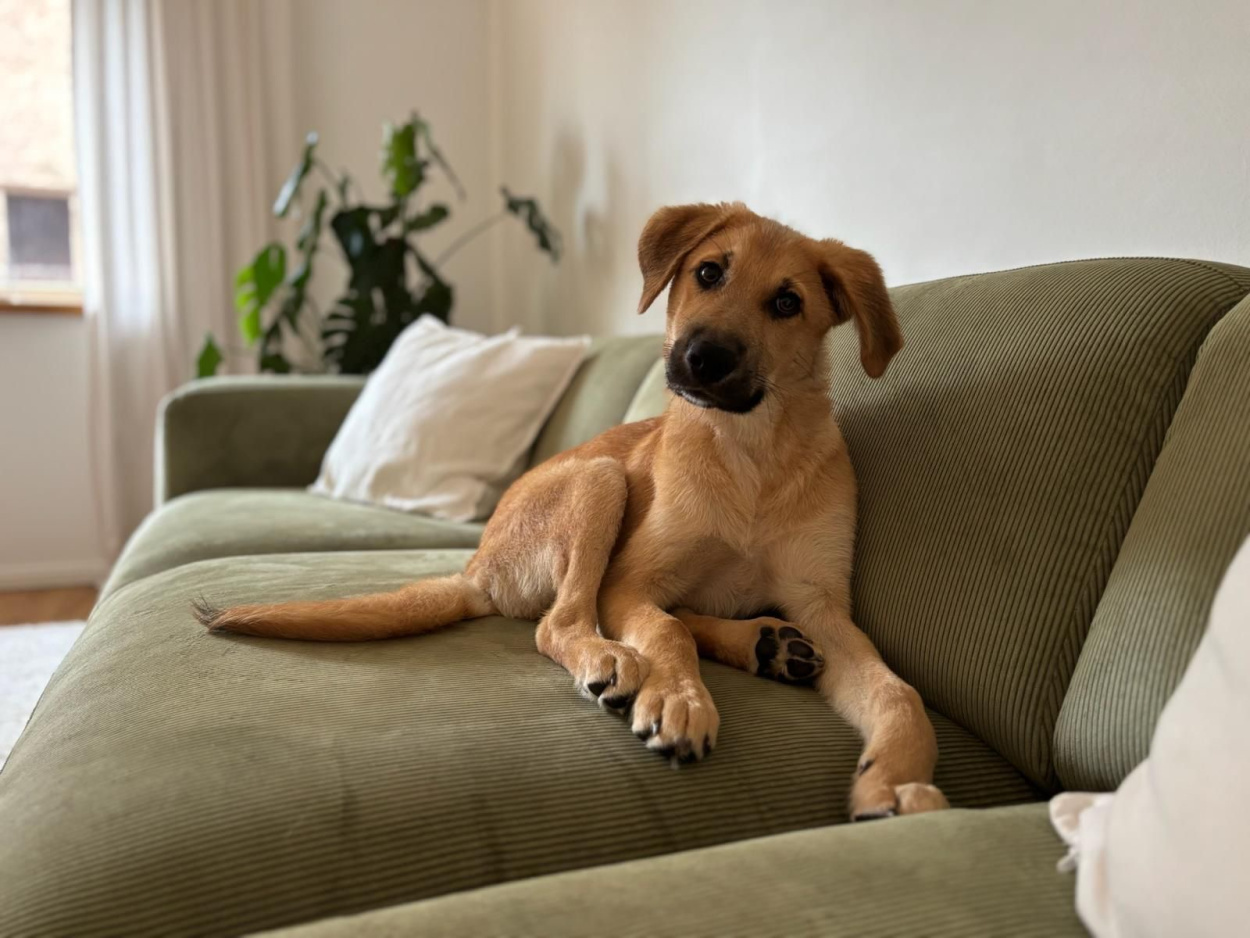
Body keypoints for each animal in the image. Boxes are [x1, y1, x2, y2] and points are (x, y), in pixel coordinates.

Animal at [195, 202, 948, 820]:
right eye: (709, 272)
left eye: (788, 302)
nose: (701, 358)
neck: (750, 456)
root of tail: (475, 570)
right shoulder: (630, 581)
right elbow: (665, 632)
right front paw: (679, 700)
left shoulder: (824, 607)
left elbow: (898, 694)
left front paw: (896, 783)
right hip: (599, 478)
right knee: (559, 623)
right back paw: (614, 658)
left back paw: (765, 645)